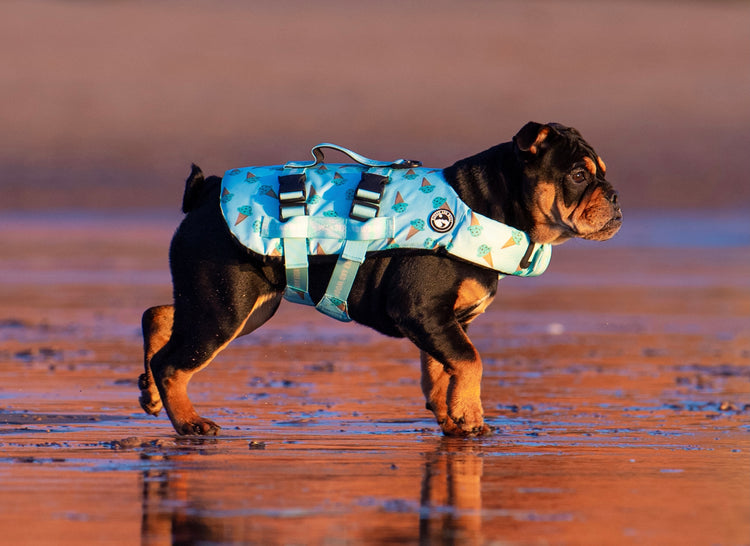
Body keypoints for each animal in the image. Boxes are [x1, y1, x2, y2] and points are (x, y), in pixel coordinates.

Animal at [138, 121, 624, 436]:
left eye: (602, 172)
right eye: (579, 174)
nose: (617, 196)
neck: (489, 205)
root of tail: (205, 193)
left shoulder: (445, 323)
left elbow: (441, 370)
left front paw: (451, 417)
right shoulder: (423, 311)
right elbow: (470, 361)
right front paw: (470, 416)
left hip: (243, 306)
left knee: (160, 317)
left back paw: (151, 394)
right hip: (227, 306)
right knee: (174, 362)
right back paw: (189, 422)